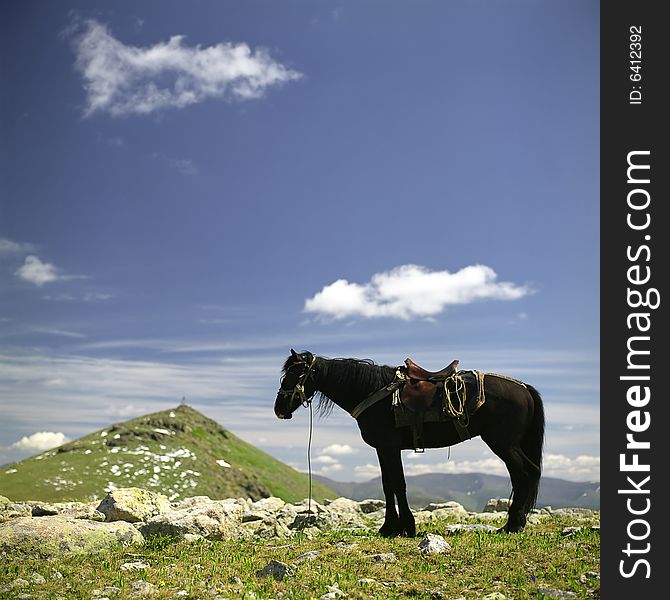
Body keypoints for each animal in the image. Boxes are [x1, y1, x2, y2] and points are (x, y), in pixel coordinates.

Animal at [272, 350, 544, 536]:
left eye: (295, 373)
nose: (279, 409)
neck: (372, 392)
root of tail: (524, 388)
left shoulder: (388, 447)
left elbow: (396, 485)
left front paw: (401, 527)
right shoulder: (384, 449)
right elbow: (389, 485)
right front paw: (393, 527)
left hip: (503, 444)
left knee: (525, 473)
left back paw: (512, 524)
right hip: (509, 444)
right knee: (523, 475)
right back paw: (514, 523)